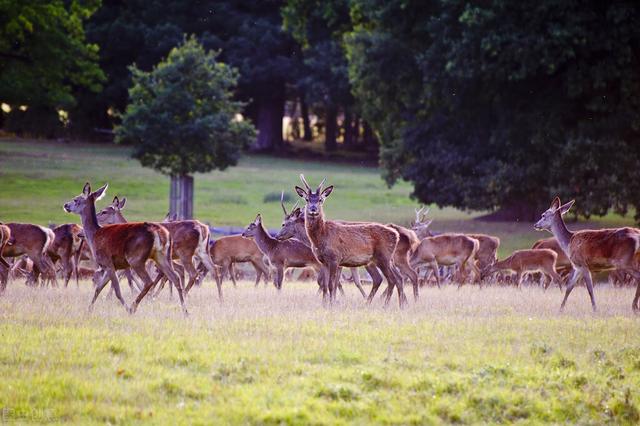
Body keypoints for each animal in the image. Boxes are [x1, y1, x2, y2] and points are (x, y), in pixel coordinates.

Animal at [62, 181, 186, 314]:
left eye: (76, 199)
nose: (65, 205)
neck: (94, 235)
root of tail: (160, 232)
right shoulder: (111, 266)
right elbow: (98, 288)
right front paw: (89, 310)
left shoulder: (108, 262)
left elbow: (117, 290)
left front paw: (126, 309)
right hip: (162, 256)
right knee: (175, 277)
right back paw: (185, 311)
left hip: (136, 258)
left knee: (149, 281)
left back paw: (133, 307)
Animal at [294, 174, 404, 306]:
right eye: (307, 199)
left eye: (320, 199)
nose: (313, 209)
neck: (321, 238)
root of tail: (396, 235)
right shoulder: (323, 261)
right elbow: (324, 285)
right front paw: (324, 305)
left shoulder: (335, 258)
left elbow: (331, 285)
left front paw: (331, 305)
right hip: (386, 259)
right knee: (397, 278)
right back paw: (399, 305)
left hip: (383, 257)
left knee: (392, 279)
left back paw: (385, 305)